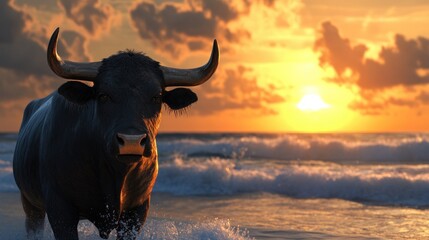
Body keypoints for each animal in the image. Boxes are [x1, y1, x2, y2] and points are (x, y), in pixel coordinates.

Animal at [13, 27, 217, 239]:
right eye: (103, 95)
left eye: (156, 96)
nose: (131, 141)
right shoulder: (60, 208)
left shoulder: (137, 210)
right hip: (30, 204)